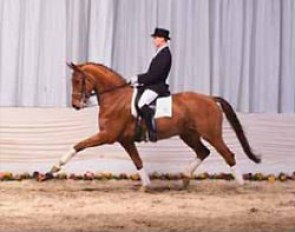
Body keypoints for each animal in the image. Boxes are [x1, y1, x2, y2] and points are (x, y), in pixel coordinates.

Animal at [49, 62, 262, 188]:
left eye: (78, 80)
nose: (76, 105)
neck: (115, 97)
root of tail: (210, 98)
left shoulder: (107, 135)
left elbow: (79, 145)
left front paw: (55, 168)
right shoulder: (125, 140)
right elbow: (137, 161)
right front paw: (146, 185)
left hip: (212, 134)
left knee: (227, 154)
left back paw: (240, 185)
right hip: (188, 134)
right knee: (203, 152)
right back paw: (185, 177)